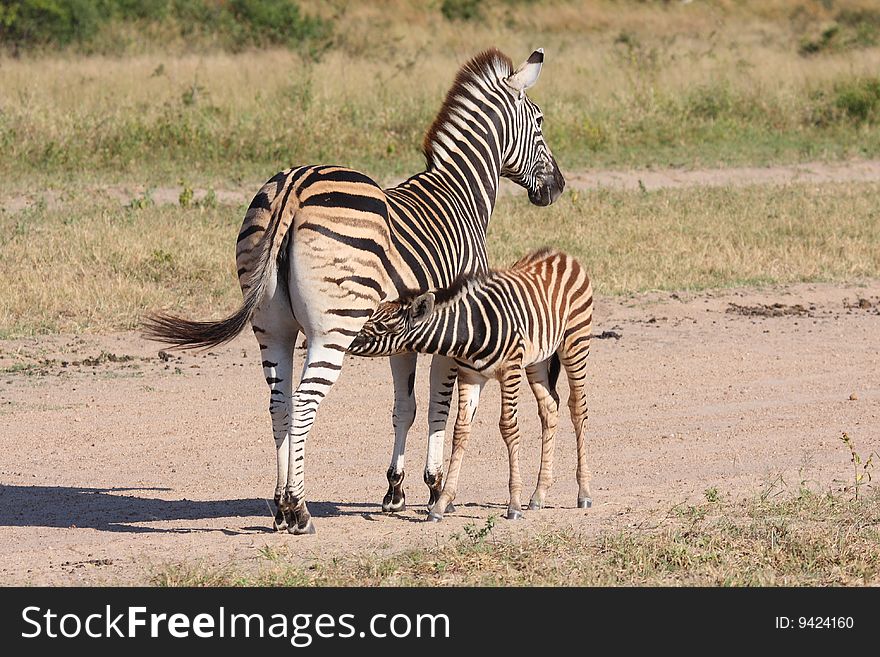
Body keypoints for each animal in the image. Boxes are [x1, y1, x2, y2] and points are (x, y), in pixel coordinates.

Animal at [144, 48, 564, 536]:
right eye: (540, 121)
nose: (558, 187)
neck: (459, 194)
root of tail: (294, 186)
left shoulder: (408, 335)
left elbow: (405, 407)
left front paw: (395, 490)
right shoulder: (454, 329)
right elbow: (441, 407)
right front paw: (435, 488)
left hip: (272, 327)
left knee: (279, 403)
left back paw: (278, 506)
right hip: (333, 328)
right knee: (304, 402)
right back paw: (298, 509)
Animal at [348, 249, 592, 520]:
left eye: (381, 326)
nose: (347, 340)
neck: (471, 330)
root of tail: (561, 254)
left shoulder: (510, 371)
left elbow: (508, 427)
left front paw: (513, 504)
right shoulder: (470, 375)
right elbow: (460, 430)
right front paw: (442, 503)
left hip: (575, 343)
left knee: (577, 407)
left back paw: (583, 493)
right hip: (537, 361)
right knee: (549, 408)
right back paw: (539, 494)